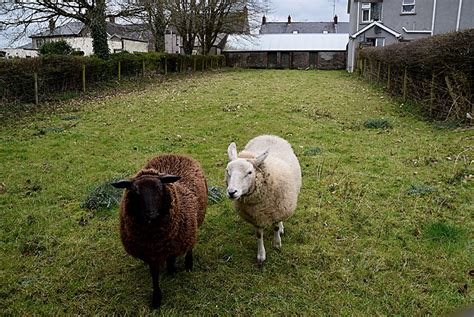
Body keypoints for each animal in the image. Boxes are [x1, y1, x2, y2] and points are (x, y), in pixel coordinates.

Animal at [113, 154, 207, 308]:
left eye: (159, 188)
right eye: (136, 191)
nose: (150, 213)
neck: (154, 238)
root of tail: (174, 154)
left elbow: (173, 257)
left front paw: (172, 270)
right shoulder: (150, 254)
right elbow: (154, 275)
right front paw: (156, 299)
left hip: (193, 226)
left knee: (190, 246)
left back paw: (188, 265)